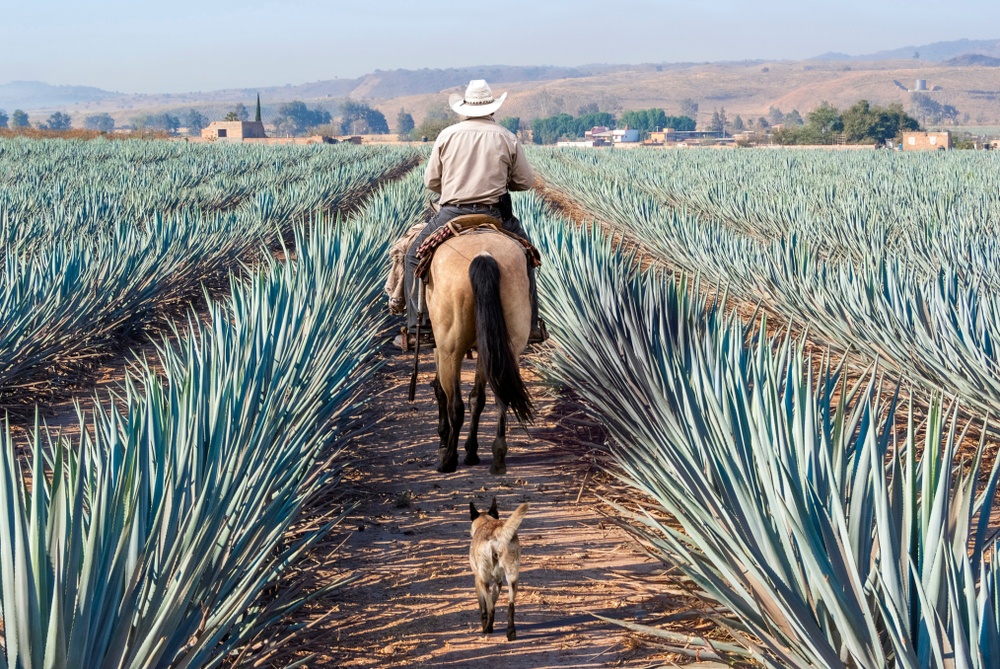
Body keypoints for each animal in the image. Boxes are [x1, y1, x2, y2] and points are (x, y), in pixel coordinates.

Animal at [426, 230, 536, 474]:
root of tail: (484, 255)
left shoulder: (440, 348)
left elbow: (440, 391)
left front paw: (443, 440)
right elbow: (477, 398)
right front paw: (471, 451)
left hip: (451, 348)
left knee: (455, 405)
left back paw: (448, 460)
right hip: (505, 344)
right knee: (500, 396)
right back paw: (497, 455)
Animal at [470, 498, 532, 640]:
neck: (486, 521)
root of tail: (497, 532)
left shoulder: (477, 580)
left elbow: (484, 608)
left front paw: (487, 625)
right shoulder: (498, 582)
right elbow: (493, 601)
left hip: (483, 580)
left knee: (491, 608)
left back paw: (486, 629)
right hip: (513, 579)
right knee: (511, 606)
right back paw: (511, 632)